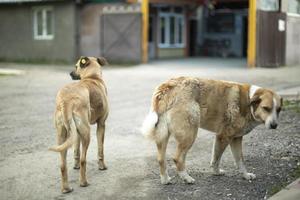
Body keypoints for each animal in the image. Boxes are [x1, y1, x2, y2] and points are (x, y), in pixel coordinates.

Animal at [49, 56, 109, 194]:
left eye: (76, 66)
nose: (70, 73)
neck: (92, 77)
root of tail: (66, 100)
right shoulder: (101, 125)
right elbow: (100, 150)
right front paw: (102, 166)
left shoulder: (76, 133)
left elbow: (76, 150)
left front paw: (75, 166)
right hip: (86, 132)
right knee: (83, 160)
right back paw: (83, 182)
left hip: (63, 135)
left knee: (63, 164)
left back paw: (66, 188)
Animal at [142, 76, 282, 184]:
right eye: (266, 108)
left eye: (278, 109)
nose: (274, 125)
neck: (249, 100)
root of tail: (167, 87)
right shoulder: (224, 137)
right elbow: (218, 158)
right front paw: (216, 172)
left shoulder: (234, 138)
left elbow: (236, 160)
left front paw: (245, 175)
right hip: (190, 134)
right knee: (177, 158)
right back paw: (186, 178)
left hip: (162, 135)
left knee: (161, 159)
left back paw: (165, 180)